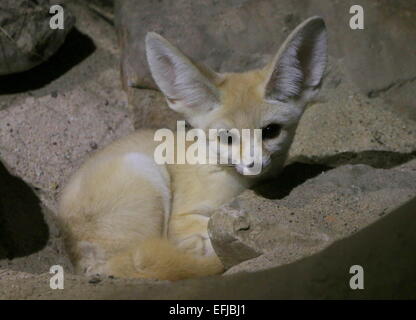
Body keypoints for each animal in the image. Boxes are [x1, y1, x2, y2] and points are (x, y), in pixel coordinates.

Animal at [58, 16, 326, 280]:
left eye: (271, 131)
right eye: (227, 137)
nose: (254, 163)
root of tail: (81, 263)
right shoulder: (180, 218)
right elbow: (201, 233)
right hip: (147, 174)